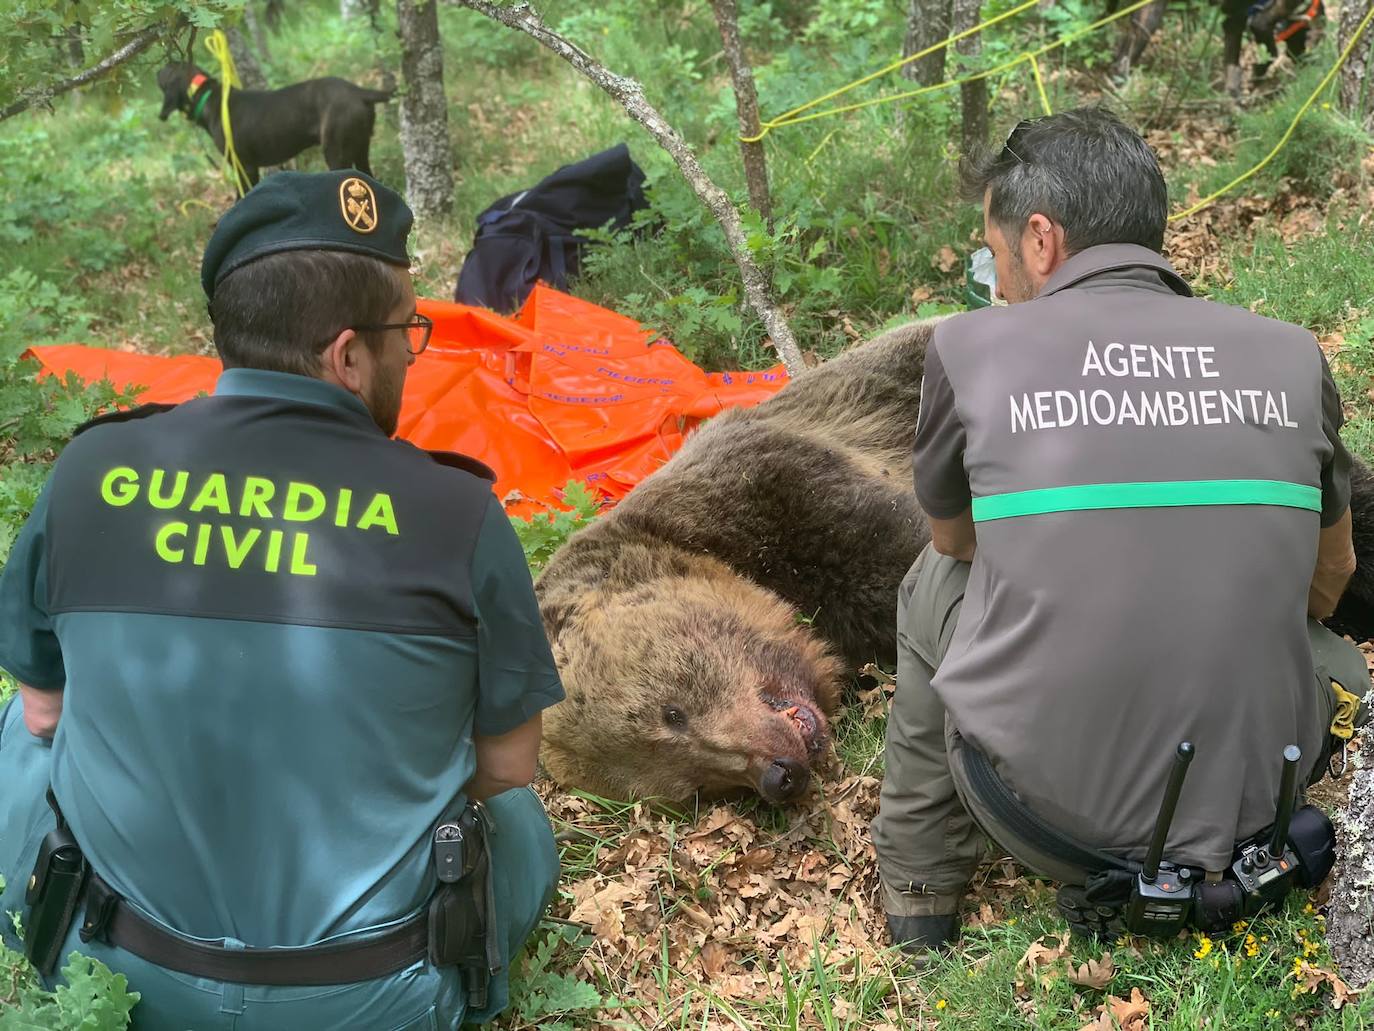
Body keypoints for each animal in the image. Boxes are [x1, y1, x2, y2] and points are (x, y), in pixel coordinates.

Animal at [157, 63, 392, 192]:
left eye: (169, 68)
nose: (159, 69)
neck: (208, 96)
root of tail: (359, 91)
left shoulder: (245, 168)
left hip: (337, 154)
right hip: (361, 148)